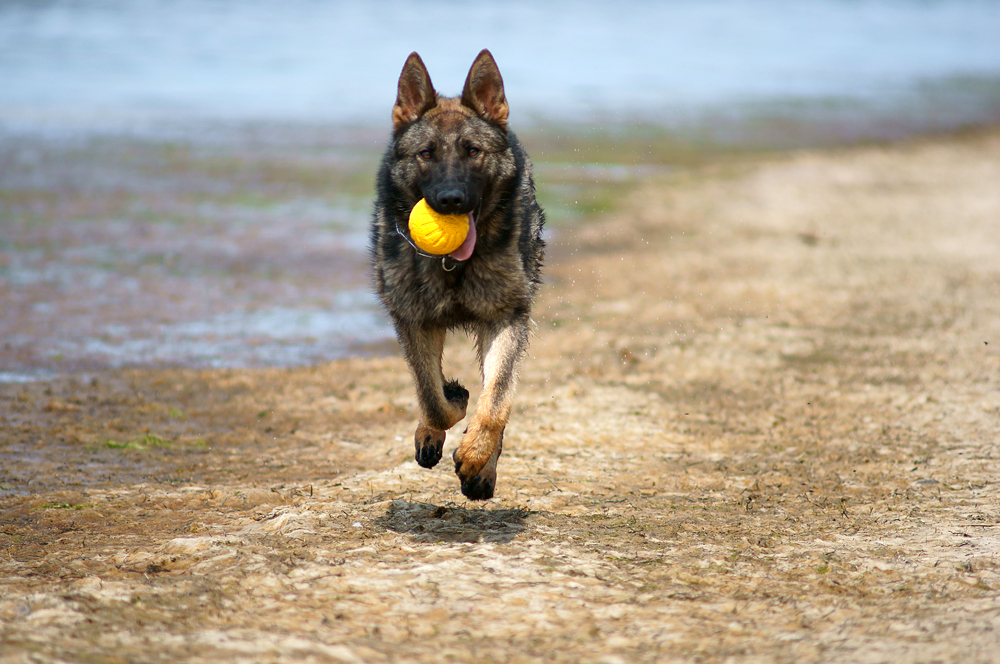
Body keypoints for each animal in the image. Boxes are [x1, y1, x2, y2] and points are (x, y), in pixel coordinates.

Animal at [372, 50, 548, 498]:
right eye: (427, 154)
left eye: (471, 151)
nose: (451, 200)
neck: (453, 264)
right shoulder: (413, 319)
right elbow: (432, 397)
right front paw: (446, 407)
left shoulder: (505, 319)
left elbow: (496, 399)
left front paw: (475, 455)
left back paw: (482, 469)